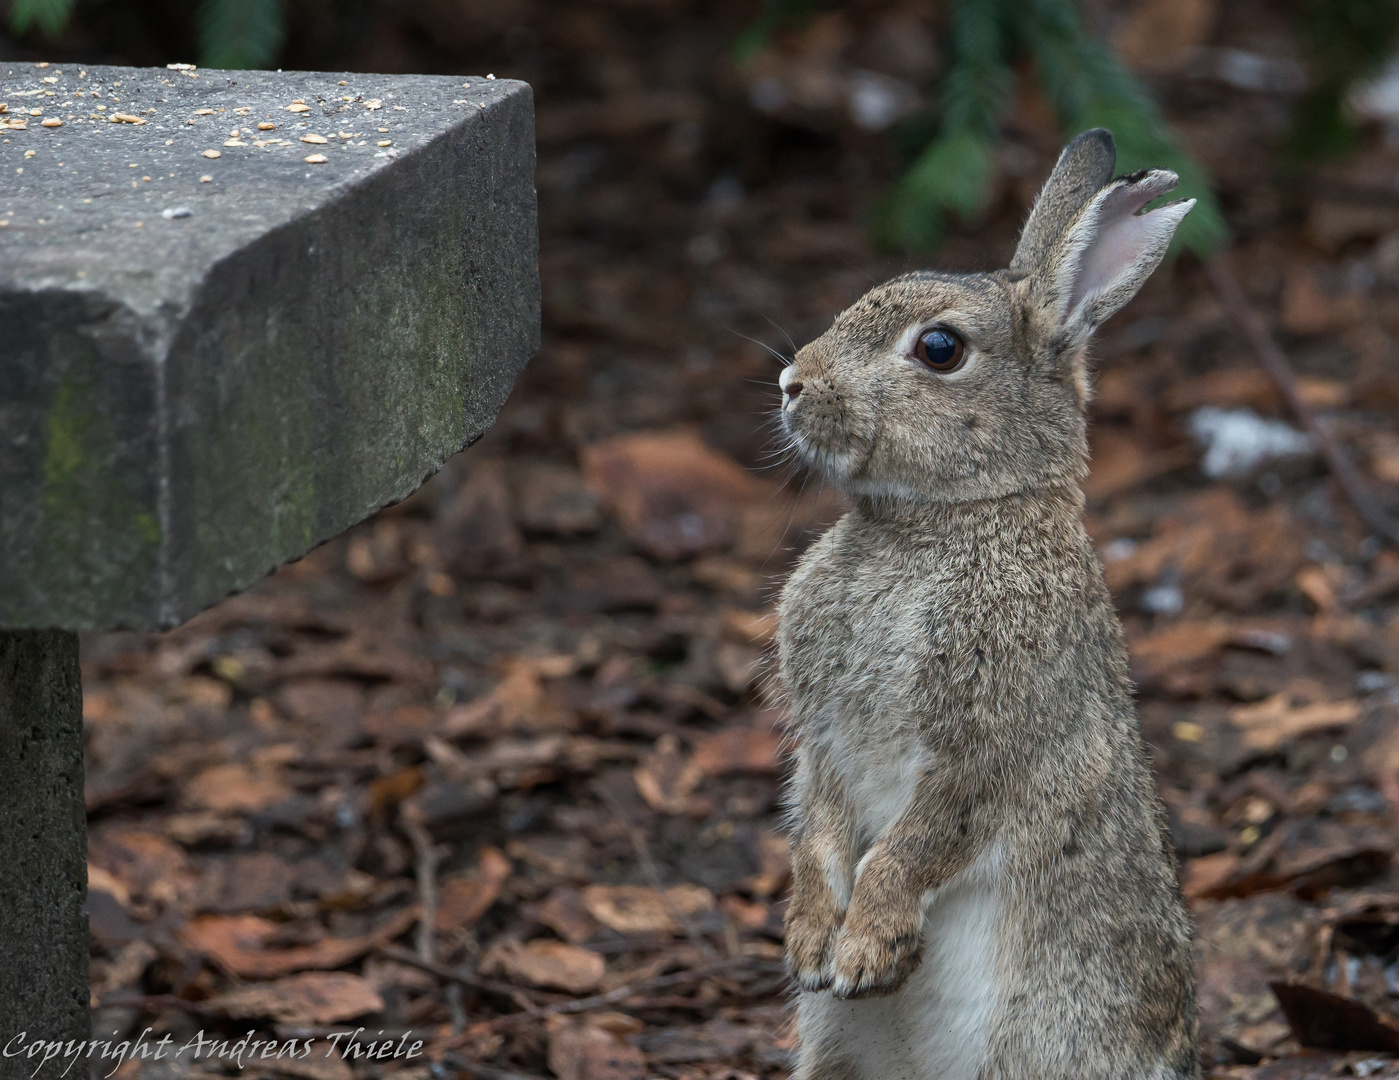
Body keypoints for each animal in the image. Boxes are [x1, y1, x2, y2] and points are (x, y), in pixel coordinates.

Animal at [777, 132, 1203, 1080]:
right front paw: (809, 942)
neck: (948, 519)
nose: (791, 382)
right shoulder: (821, 740)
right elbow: (819, 825)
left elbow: (916, 842)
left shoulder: (986, 736)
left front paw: (863, 950)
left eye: (939, 348)